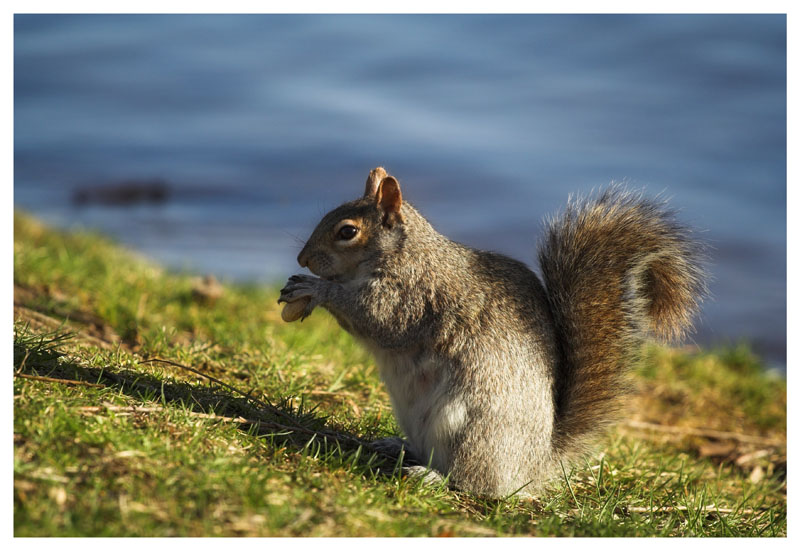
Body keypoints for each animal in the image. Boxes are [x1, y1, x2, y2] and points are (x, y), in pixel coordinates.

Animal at [278, 166, 704, 498]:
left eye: (347, 231)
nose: (302, 258)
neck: (405, 253)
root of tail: (533, 468)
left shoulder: (410, 296)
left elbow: (374, 317)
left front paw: (314, 289)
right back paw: (397, 446)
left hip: (472, 431)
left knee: (473, 483)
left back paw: (431, 477)